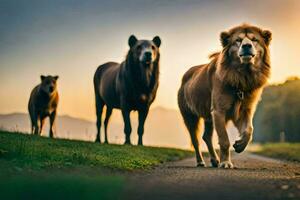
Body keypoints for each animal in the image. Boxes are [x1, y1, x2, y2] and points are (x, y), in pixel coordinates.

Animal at [178, 23, 272, 169]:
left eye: (254, 40)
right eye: (238, 40)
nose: (246, 46)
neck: (242, 76)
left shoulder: (245, 110)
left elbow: (249, 130)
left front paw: (239, 145)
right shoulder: (218, 111)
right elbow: (224, 140)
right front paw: (226, 163)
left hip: (208, 117)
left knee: (206, 137)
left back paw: (214, 160)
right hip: (190, 116)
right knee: (195, 140)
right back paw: (201, 161)